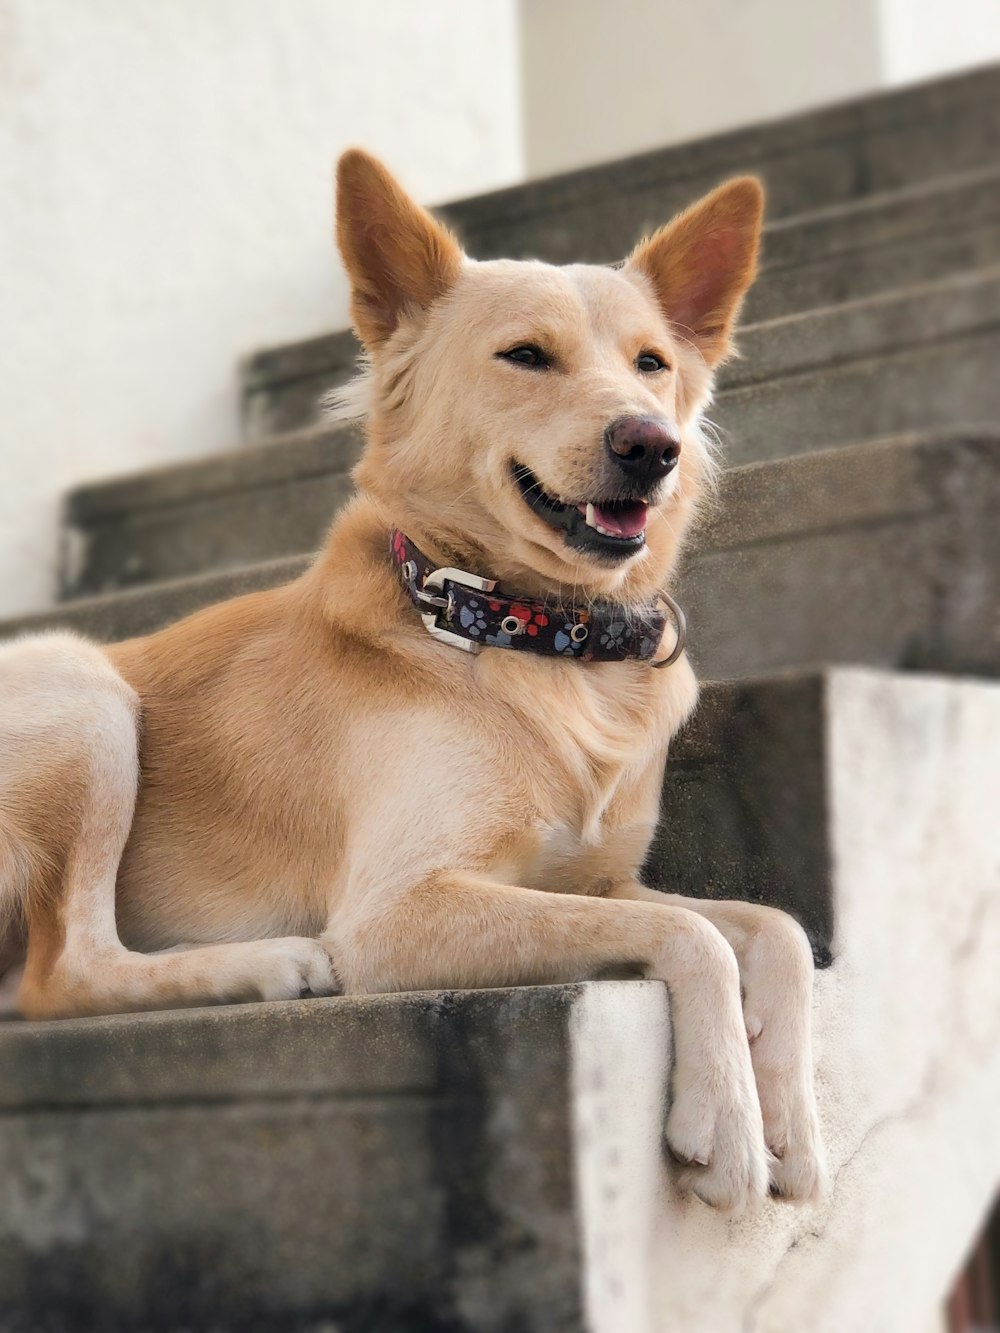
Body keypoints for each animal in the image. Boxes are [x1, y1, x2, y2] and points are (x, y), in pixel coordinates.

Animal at [0, 151, 826, 1215]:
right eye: (526, 356)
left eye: (651, 363)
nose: (652, 445)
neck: (526, 632)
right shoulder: (397, 913)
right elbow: (694, 933)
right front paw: (728, 1116)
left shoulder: (603, 879)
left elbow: (774, 925)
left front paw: (792, 1115)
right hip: (83, 693)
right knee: (64, 972)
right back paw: (267, 961)